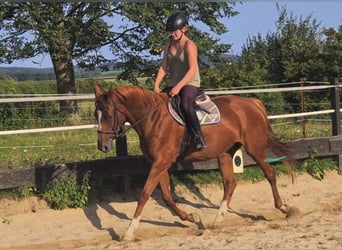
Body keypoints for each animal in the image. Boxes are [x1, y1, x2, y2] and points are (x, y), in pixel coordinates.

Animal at [93, 83, 294, 240]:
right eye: (96, 115)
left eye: (109, 115)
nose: (103, 146)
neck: (152, 118)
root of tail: (252, 102)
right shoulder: (159, 163)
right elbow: (166, 197)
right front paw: (193, 218)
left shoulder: (161, 163)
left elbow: (144, 194)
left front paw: (129, 232)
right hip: (225, 153)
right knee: (230, 183)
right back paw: (218, 219)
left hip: (255, 149)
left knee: (269, 173)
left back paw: (284, 208)